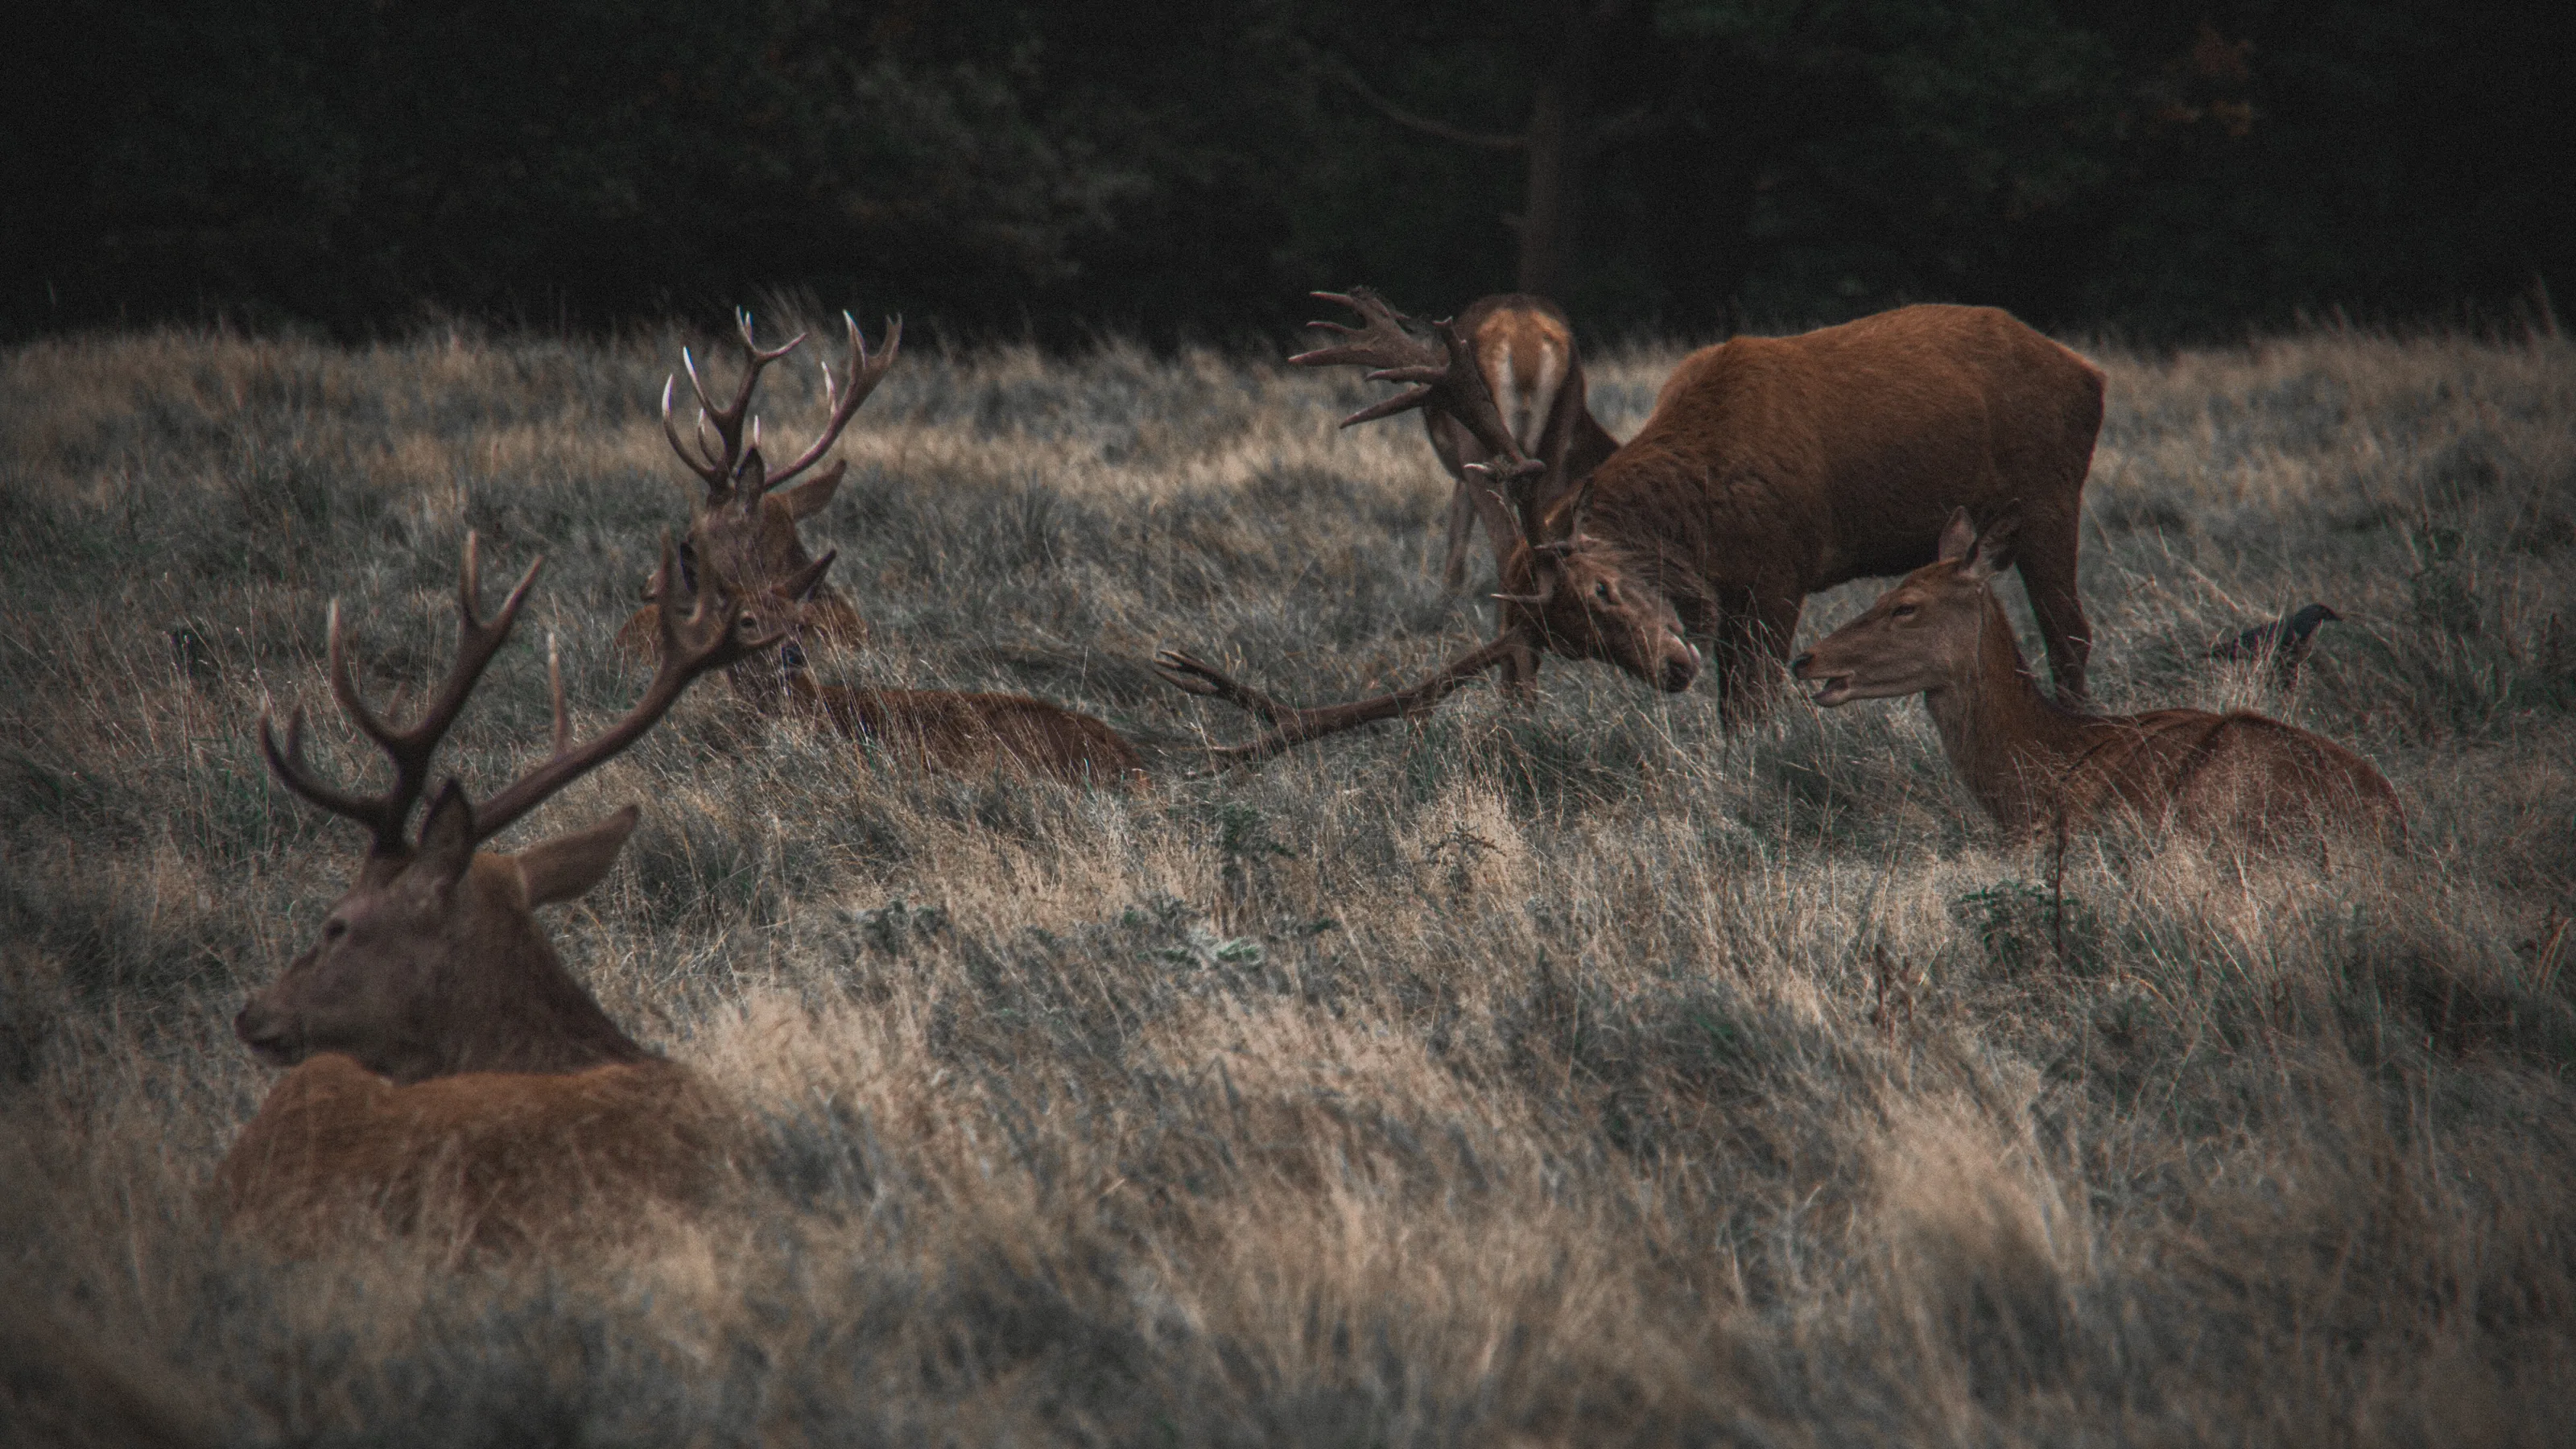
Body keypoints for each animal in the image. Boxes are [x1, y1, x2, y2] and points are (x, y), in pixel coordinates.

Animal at [1167, 292, 2106, 765]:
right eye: (1575, 643)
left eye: (1604, 586)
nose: (1668, 668)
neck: (1702, 516)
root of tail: (2087, 373)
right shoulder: (1732, 596)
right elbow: (1733, 707)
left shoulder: (1782, 568)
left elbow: (1753, 707)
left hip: (2053, 493)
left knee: (2071, 631)